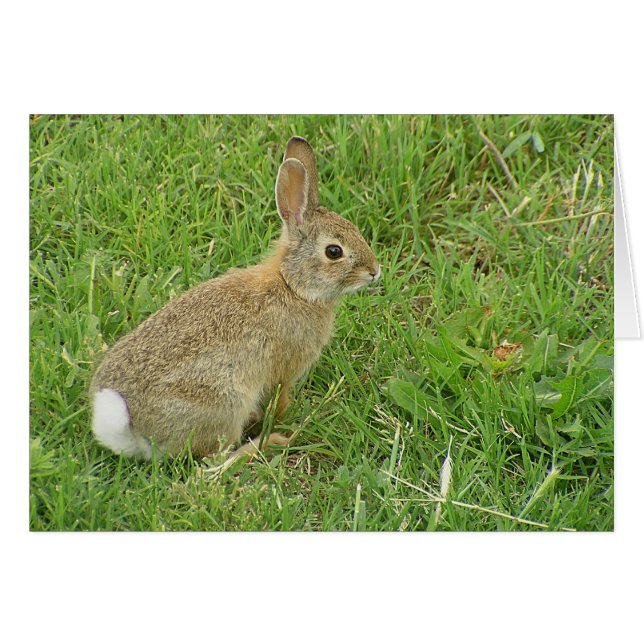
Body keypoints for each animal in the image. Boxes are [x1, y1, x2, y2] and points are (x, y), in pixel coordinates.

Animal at [90, 136, 380, 459]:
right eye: (333, 251)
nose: (375, 271)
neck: (293, 286)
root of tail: (136, 432)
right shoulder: (283, 370)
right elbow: (280, 398)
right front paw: (283, 421)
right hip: (226, 401)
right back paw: (268, 443)